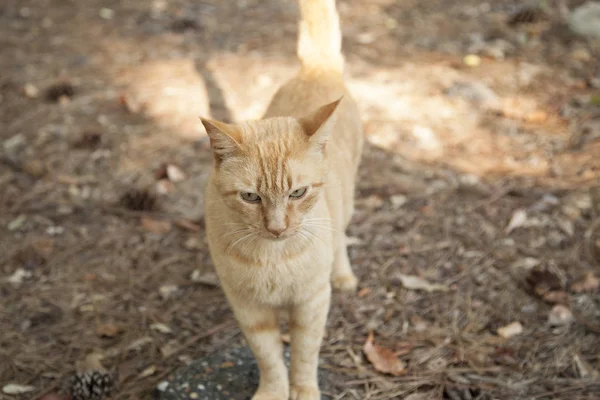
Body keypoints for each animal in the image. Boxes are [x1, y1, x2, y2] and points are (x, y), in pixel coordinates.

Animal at [202, 1, 364, 398]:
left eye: (298, 193)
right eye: (250, 197)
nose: (277, 228)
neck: (272, 258)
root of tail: (314, 70)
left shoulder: (311, 303)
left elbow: (304, 356)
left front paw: (303, 392)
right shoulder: (248, 309)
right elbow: (269, 357)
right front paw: (273, 391)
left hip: (346, 203)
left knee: (341, 238)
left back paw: (343, 274)